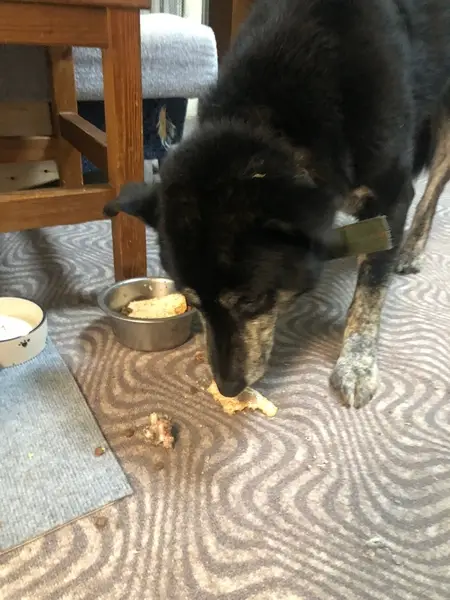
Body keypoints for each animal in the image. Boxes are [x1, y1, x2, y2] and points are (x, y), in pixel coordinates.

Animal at [105, 0, 450, 407]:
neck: (270, 120)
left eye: (251, 301)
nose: (228, 388)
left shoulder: (391, 196)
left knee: (436, 182)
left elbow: (371, 288)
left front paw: (357, 362)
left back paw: (411, 249)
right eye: (192, 303)